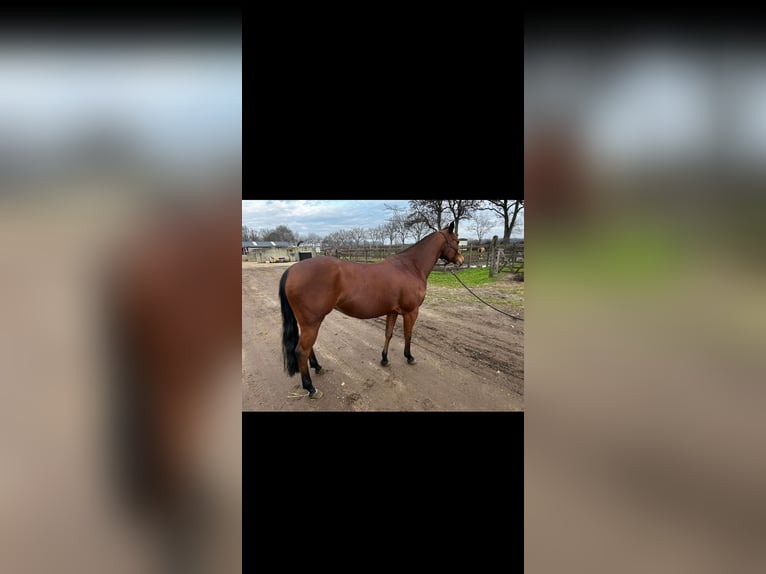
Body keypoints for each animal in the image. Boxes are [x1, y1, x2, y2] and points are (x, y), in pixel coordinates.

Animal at [279, 222, 464, 399]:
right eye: (456, 241)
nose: (461, 260)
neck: (410, 266)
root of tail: (291, 270)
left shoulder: (392, 312)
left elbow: (388, 334)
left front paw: (384, 359)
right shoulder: (411, 311)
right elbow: (408, 334)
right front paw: (409, 357)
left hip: (309, 323)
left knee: (307, 347)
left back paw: (317, 367)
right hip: (312, 322)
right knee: (301, 351)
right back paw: (311, 388)